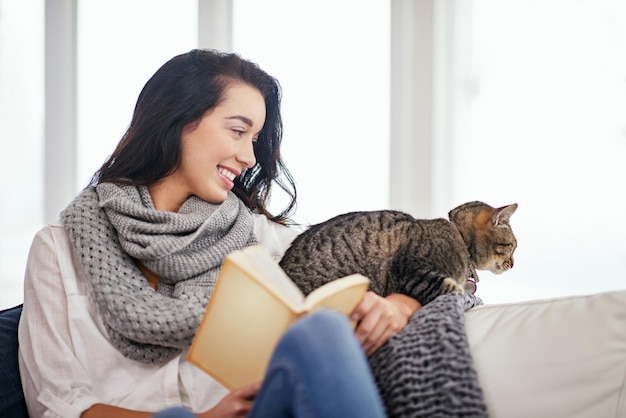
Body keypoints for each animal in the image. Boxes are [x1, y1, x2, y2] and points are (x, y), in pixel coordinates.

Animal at [280, 201, 516, 306]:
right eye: (513, 246)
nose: (512, 264)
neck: (459, 238)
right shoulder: (412, 274)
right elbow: (453, 290)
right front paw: (469, 297)